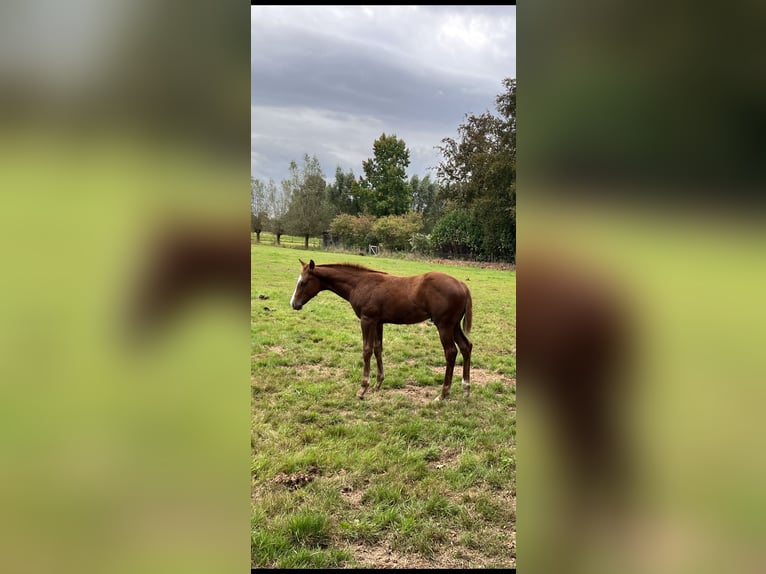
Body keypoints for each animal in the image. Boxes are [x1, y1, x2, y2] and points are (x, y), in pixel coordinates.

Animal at [290, 259, 473, 401]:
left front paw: (362, 389)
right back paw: (465, 389)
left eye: (303, 282)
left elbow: (366, 350)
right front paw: (377, 384)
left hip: (444, 325)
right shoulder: (378, 322)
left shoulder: (367, 320)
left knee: (451, 352)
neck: (359, 283)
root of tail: (462, 285)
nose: (294, 304)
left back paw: (443, 394)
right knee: (466, 347)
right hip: (454, 325)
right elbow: (378, 349)